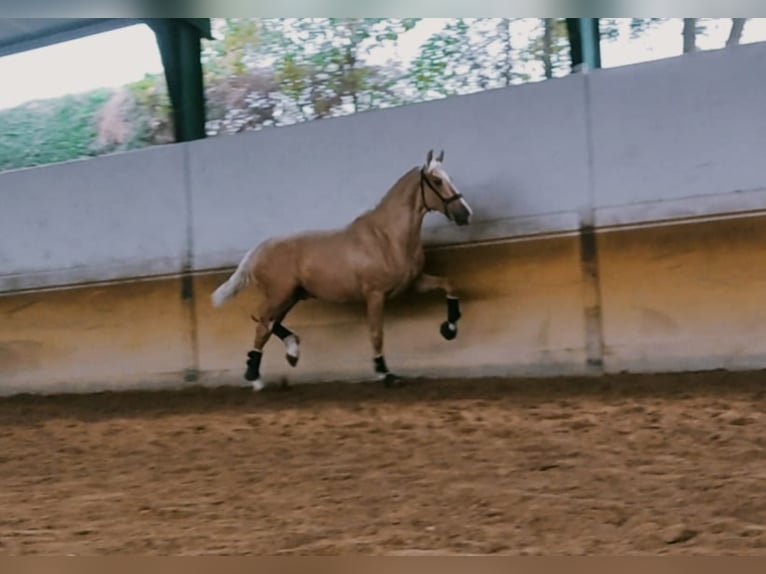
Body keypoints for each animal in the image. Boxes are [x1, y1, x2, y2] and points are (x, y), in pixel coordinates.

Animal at [212, 150, 474, 392]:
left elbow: (449, 284)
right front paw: (385, 373)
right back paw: (255, 377)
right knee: (262, 322)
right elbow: (376, 333)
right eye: (437, 181)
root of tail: (256, 251)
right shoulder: (375, 294)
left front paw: (449, 328)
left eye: (449, 177)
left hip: (292, 296)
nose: (465, 214)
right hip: (280, 294)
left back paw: (291, 352)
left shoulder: (414, 282)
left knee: (266, 321)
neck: (387, 237)